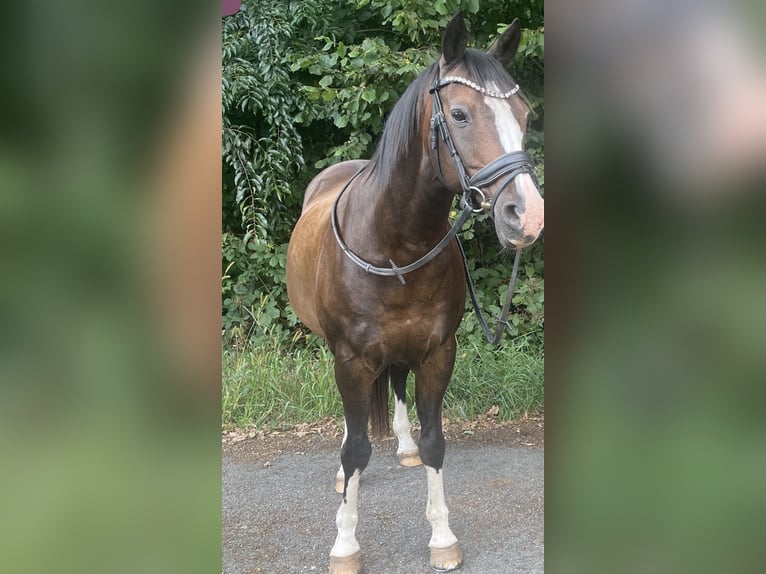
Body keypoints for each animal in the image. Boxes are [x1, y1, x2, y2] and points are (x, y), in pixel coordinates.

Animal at [286, 12, 544, 574]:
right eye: (460, 114)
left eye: (524, 114)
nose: (527, 215)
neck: (393, 245)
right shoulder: (351, 358)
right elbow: (357, 450)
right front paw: (345, 544)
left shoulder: (437, 353)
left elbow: (433, 442)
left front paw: (442, 536)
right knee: (354, 428)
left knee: (397, 384)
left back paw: (400, 445)